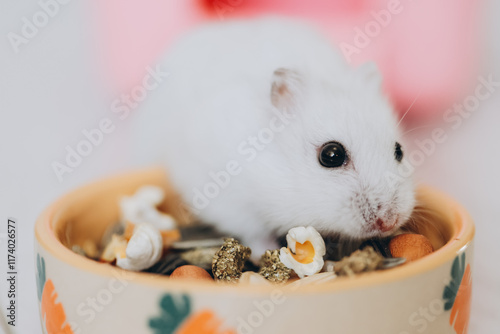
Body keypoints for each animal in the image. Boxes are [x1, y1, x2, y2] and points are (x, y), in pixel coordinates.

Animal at [135, 17, 416, 254]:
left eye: (399, 151)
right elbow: (255, 232)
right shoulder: (231, 200)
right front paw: (266, 251)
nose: (389, 221)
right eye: (331, 155)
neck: (279, 172)